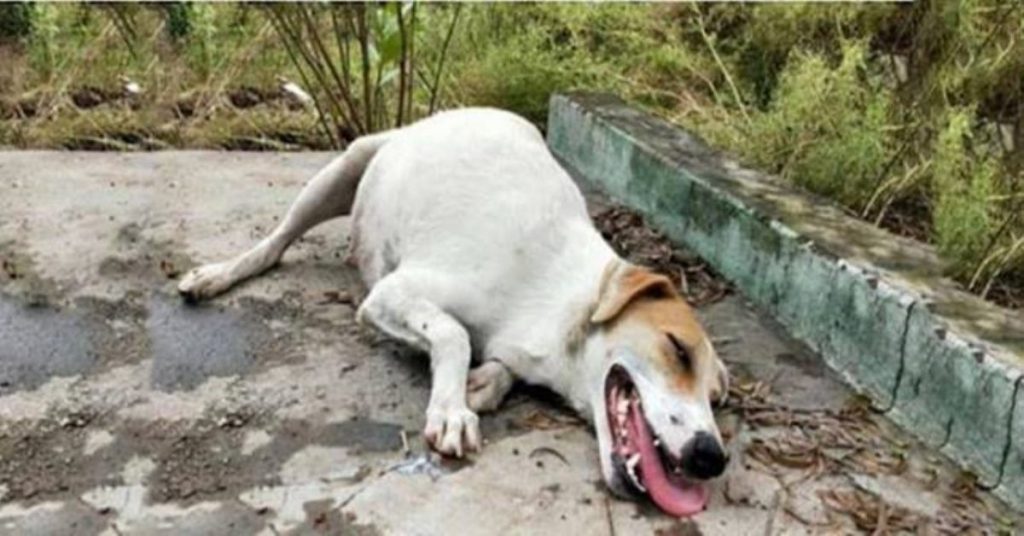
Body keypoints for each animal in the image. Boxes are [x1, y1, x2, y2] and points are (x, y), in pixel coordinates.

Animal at [180, 108, 733, 516]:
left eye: (715, 397)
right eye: (678, 350)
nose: (712, 457)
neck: (565, 301)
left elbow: (493, 363)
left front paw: (484, 383)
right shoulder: (391, 293)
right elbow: (452, 334)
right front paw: (450, 407)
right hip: (342, 168)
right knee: (274, 245)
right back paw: (217, 275)